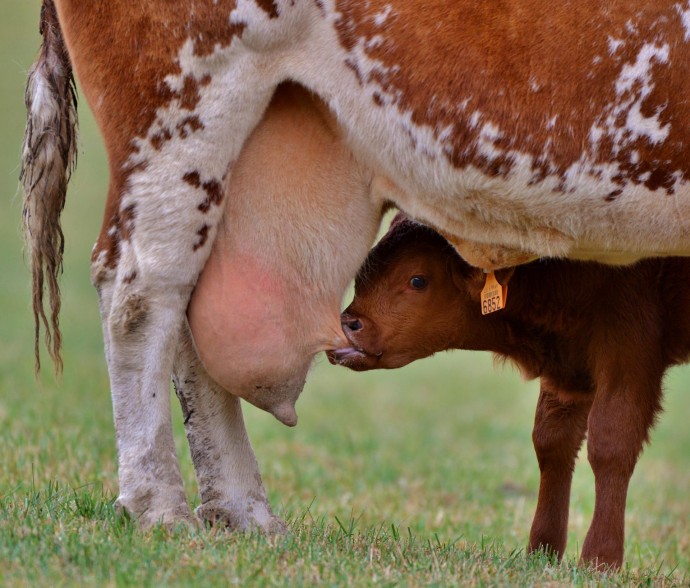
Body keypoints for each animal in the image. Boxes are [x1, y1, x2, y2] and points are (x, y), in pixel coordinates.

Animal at [328, 214, 688, 568]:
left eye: (417, 280)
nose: (347, 325)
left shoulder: (628, 357)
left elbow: (611, 444)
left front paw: (601, 558)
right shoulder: (567, 373)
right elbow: (552, 442)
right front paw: (543, 550)